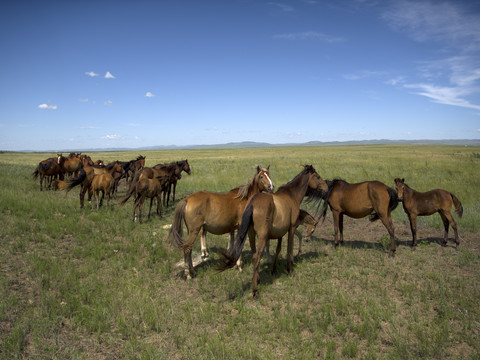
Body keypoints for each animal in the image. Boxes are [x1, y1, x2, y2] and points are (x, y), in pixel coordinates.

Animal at [219, 166, 328, 298]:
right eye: (317, 176)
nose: (326, 187)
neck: (291, 195)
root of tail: (252, 203)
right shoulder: (291, 229)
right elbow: (289, 248)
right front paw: (289, 270)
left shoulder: (280, 232)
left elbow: (278, 249)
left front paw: (274, 269)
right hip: (262, 236)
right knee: (257, 257)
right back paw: (255, 290)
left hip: (251, 235)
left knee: (254, 255)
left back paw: (257, 280)